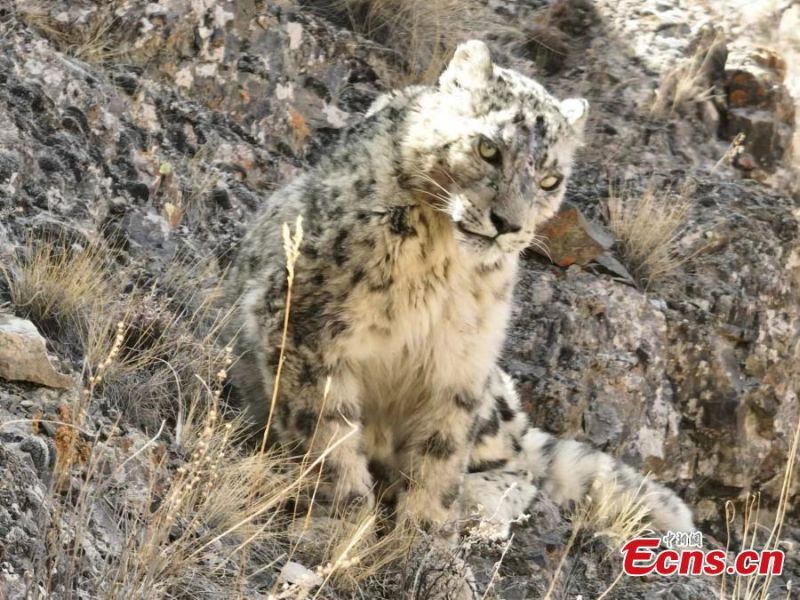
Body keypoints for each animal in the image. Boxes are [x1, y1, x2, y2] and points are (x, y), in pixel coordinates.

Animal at [227, 39, 692, 540]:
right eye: (488, 148)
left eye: (550, 179)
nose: (508, 224)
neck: (440, 263)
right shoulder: (308, 324)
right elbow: (325, 433)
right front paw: (342, 520)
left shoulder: (462, 355)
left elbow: (442, 448)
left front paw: (426, 531)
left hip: (494, 393)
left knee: (520, 463)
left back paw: (478, 501)